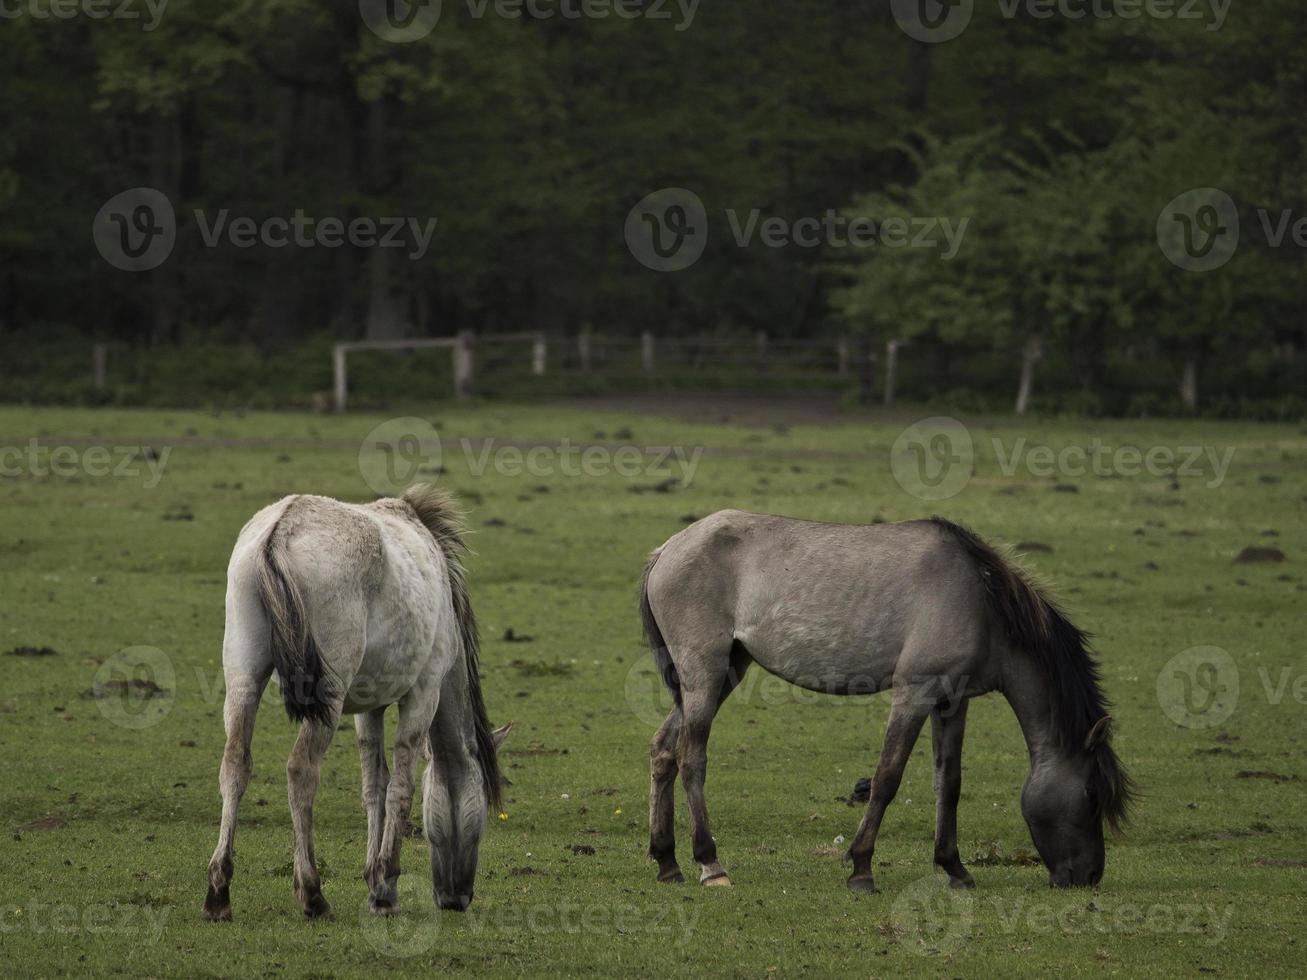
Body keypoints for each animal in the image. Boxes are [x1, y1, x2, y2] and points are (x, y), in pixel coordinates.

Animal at [203, 488, 509, 925]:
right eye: (482, 820)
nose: (457, 899)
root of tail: (280, 531)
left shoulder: (369, 708)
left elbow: (373, 787)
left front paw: (373, 879)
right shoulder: (423, 696)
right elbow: (401, 789)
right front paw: (385, 890)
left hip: (244, 678)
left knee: (235, 766)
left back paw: (218, 894)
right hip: (328, 697)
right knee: (301, 771)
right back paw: (312, 894)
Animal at [643, 514, 1134, 898]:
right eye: (1091, 796)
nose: (1088, 876)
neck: (981, 600)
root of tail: (667, 549)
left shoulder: (952, 701)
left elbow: (948, 783)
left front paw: (954, 868)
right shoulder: (913, 693)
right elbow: (886, 779)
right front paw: (861, 868)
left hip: (725, 671)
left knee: (664, 750)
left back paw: (667, 862)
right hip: (704, 674)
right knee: (691, 757)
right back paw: (710, 864)